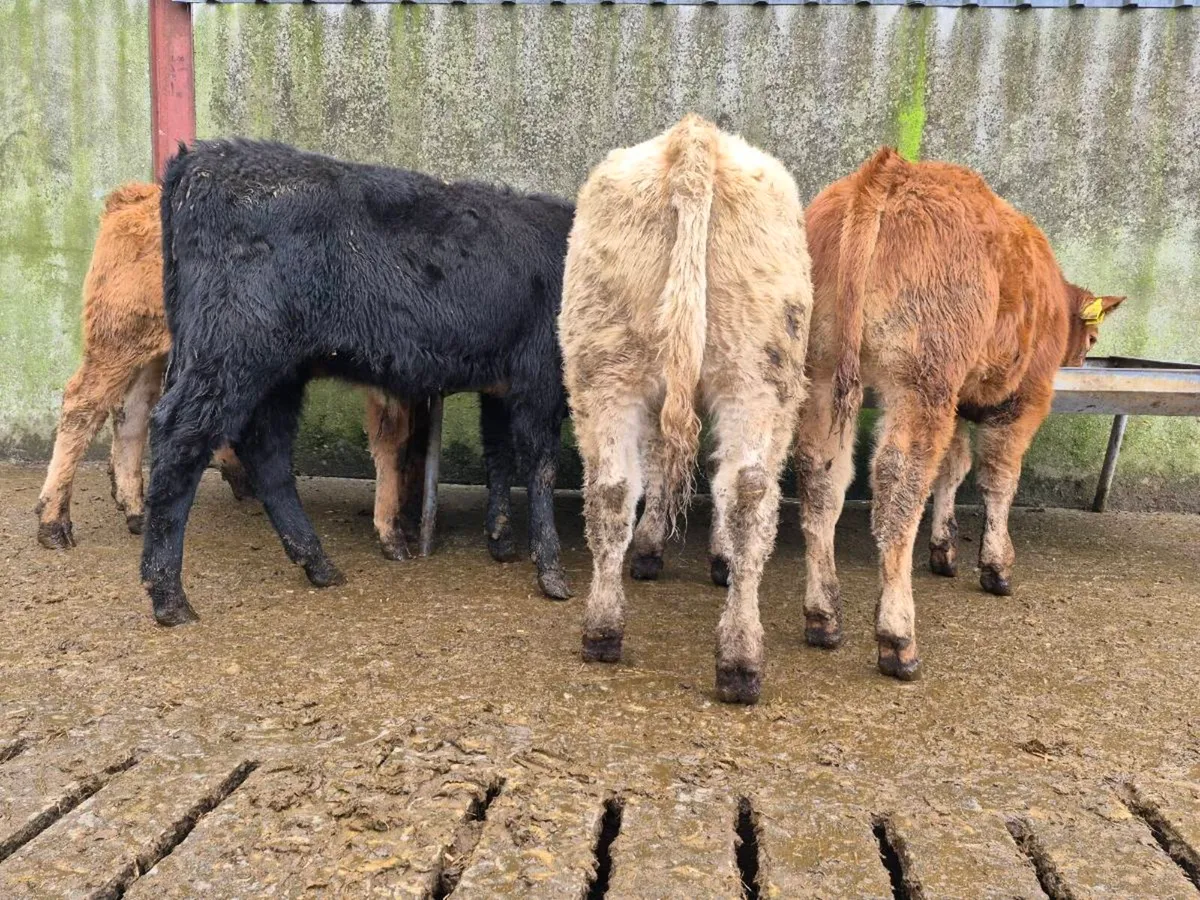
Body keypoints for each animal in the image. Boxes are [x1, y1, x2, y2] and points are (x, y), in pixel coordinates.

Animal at [33, 183, 431, 562]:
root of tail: (135, 196)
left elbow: (411, 448)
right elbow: (393, 445)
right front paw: (393, 535)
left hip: (151, 352)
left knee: (132, 413)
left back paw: (136, 512)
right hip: (117, 341)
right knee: (82, 406)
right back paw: (54, 524)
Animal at [143, 140, 574, 626]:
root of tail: (201, 158)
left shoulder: (501, 383)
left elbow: (498, 456)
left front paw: (501, 542)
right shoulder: (541, 378)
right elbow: (540, 467)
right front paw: (551, 569)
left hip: (278, 371)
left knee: (266, 451)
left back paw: (317, 563)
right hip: (229, 352)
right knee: (179, 436)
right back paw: (168, 594)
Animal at [559, 115, 813, 704]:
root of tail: (694, 137)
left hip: (605, 362)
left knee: (610, 490)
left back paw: (602, 630)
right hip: (762, 379)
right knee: (747, 493)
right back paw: (741, 659)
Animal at [793, 147, 1125, 680]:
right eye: (1092, 337)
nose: (1081, 360)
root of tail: (888, 172)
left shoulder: (960, 398)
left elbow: (954, 467)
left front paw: (944, 548)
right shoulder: (1023, 397)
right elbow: (999, 477)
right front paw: (996, 564)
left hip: (823, 370)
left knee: (821, 477)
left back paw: (823, 617)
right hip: (921, 380)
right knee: (898, 483)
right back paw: (898, 638)